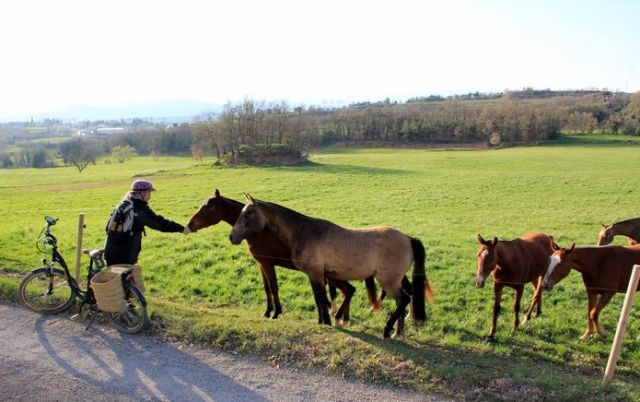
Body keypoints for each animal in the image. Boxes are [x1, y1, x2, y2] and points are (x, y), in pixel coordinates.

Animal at [187, 189, 378, 324]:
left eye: (207, 207)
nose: (188, 225)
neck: (259, 232)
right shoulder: (261, 263)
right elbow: (266, 288)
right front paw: (267, 312)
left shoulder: (267, 262)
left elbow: (273, 287)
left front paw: (275, 313)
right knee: (346, 291)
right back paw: (343, 319)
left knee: (347, 290)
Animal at [229, 193, 434, 339]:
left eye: (247, 214)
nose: (232, 237)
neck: (305, 232)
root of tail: (408, 238)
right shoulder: (315, 275)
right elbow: (318, 298)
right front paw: (323, 320)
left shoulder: (316, 274)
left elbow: (321, 298)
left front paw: (327, 322)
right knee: (402, 300)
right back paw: (397, 333)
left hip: (388, 281)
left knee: (404, 299)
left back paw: (386, 330)